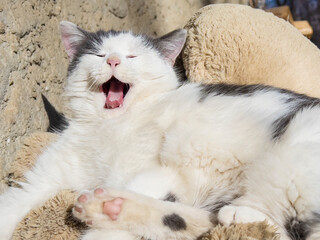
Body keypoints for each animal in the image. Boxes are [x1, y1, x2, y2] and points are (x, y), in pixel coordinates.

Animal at [0, 21, 320, 240]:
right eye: (99, 54)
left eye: (132, 57)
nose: (113, 60)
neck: (107, 127)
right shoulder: (40, 180)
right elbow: (16, 201)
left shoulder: (157, 170)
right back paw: (111, 206)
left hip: (290, 157)